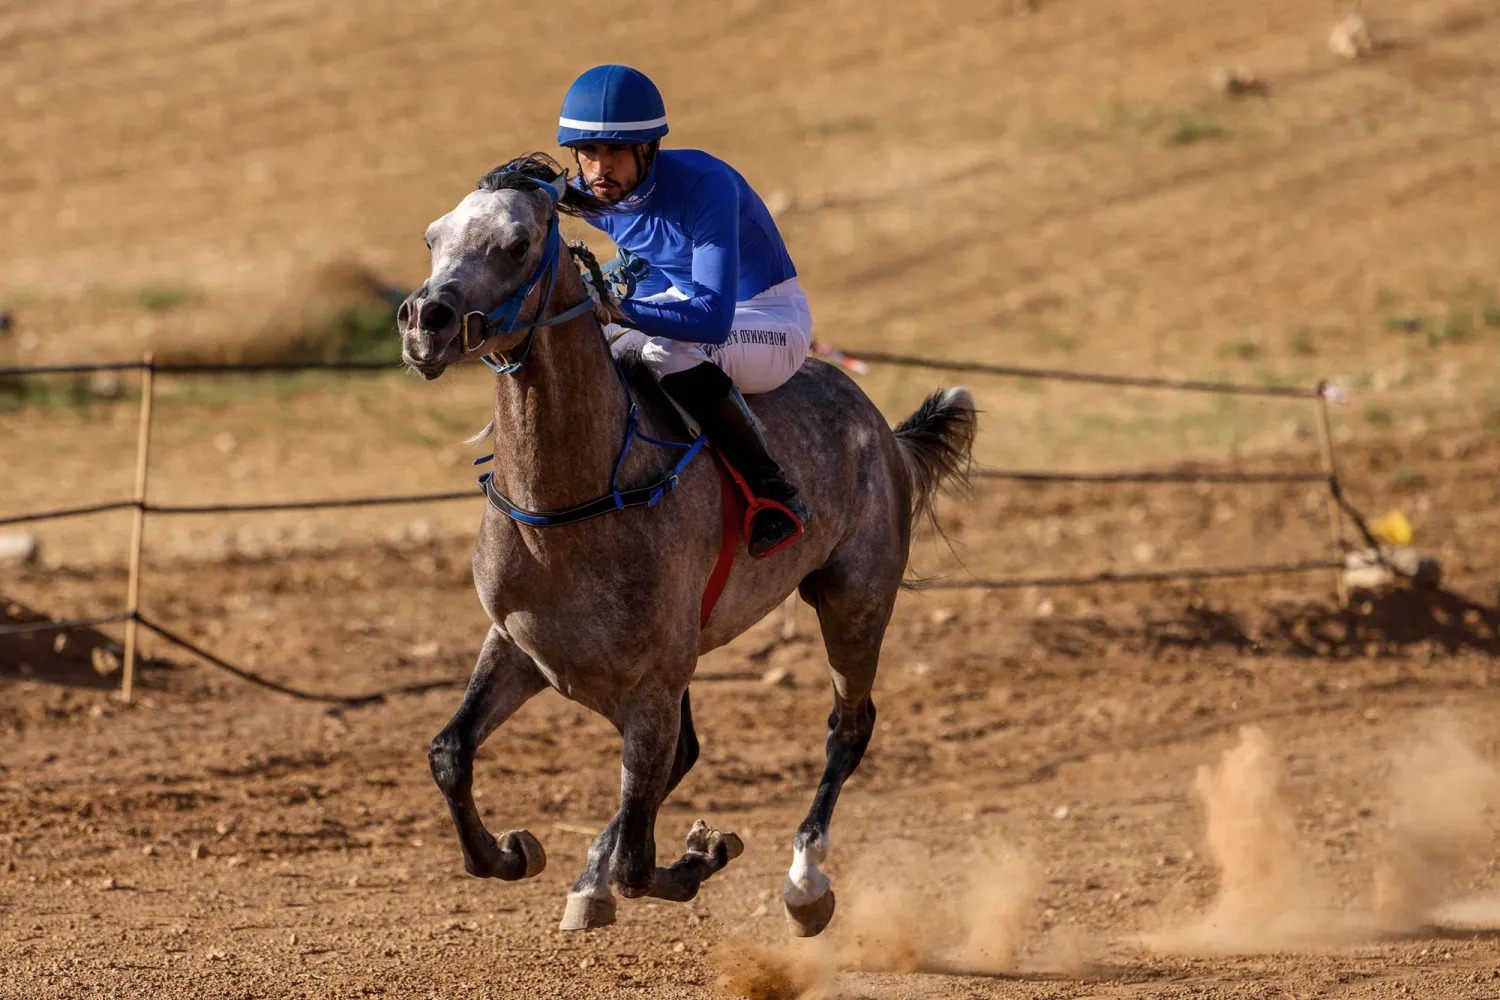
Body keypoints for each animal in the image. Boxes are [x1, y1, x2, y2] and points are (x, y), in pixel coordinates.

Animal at [396, 154, 976, 936]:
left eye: (517, 245)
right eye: (434, 237)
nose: (423, 322)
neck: (570, 503)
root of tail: (882, 429)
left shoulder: (651, 688)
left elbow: (642, 862)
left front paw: (703, 853)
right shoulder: (520, 644)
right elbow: (450, 753)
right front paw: (515, 853)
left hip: (855, 600)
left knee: (848, 728)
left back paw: (805, 882)